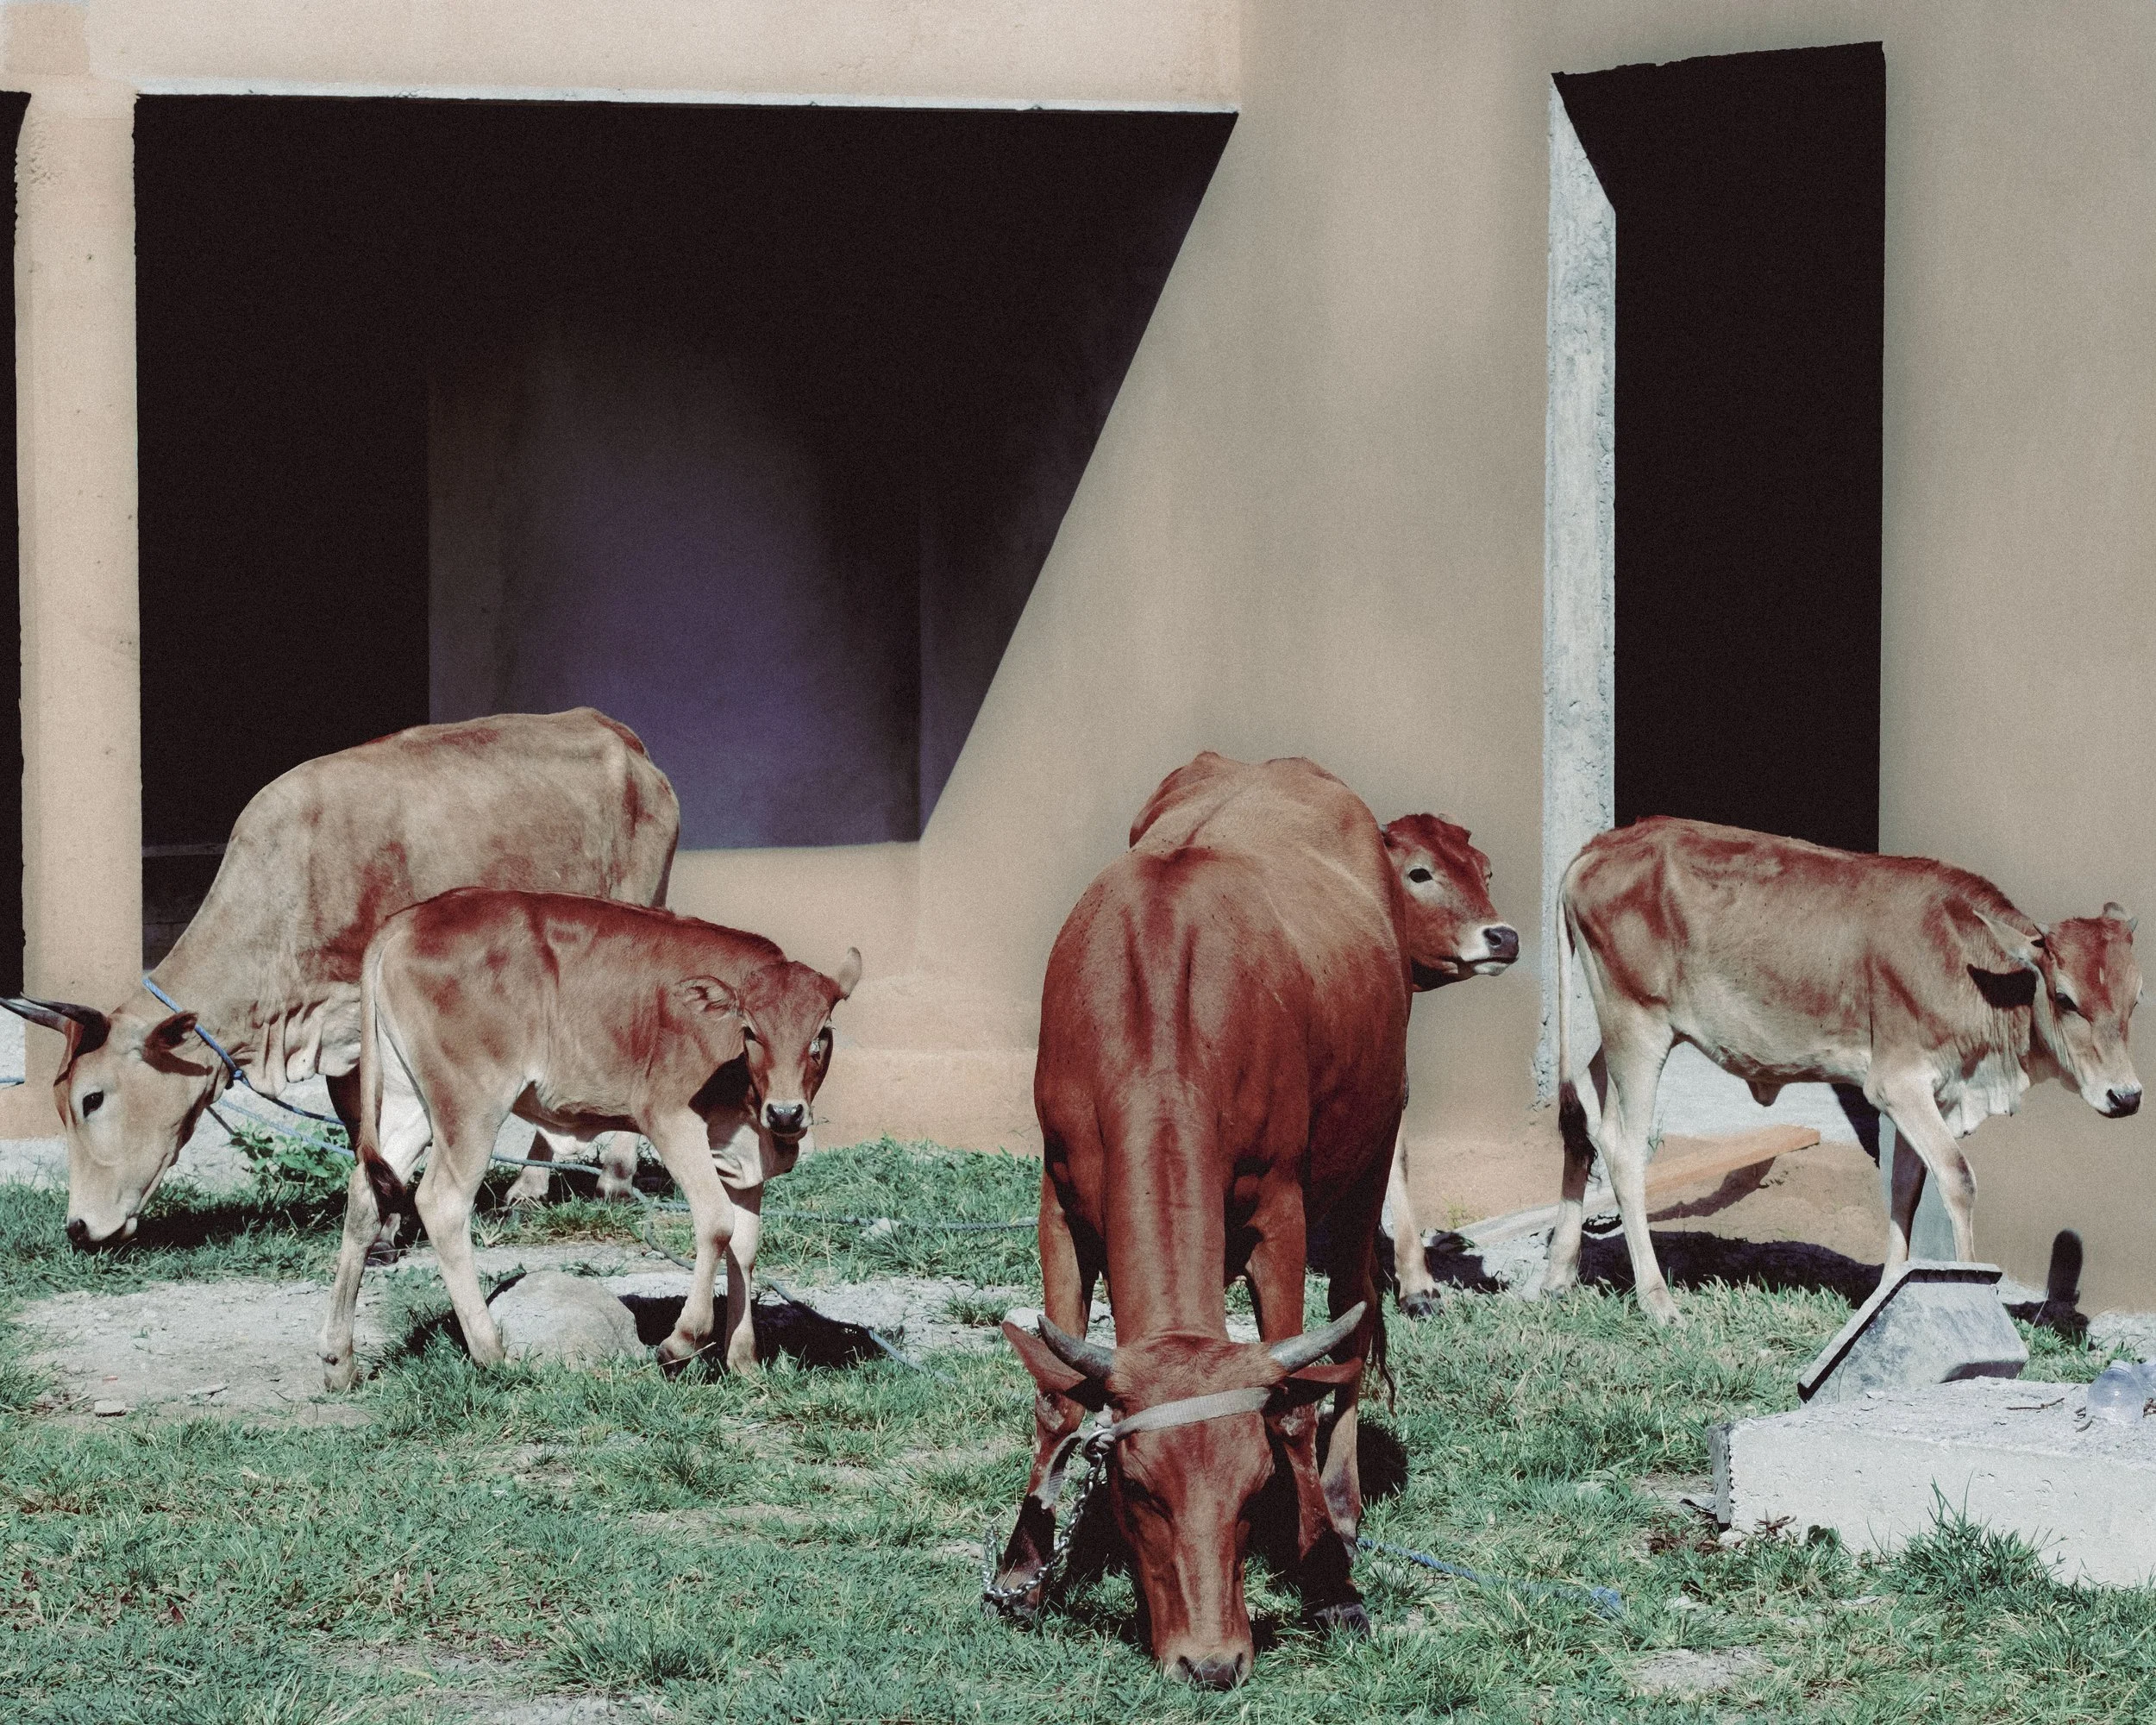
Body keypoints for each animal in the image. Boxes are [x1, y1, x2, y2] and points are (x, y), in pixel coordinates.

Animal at [0, 709, 679, 1247]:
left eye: (92, 1098)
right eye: (60, 1104)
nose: (78, 1228)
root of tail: (619, 735)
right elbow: (362, 1127)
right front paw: (387, 1224)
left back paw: (609, 1179)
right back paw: (537, 1184)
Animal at [318, 889, 859, 1389]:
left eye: (821, 1033)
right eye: (750, 1031)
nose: (786, 1112)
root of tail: (413, 916)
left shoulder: (747, 1152)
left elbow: (745, 1247)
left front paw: (744, 1362)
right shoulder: (670, 1118)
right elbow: (717, 1224)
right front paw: (680, 1343)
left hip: (408, 1099)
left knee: (365, 1194)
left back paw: (340, 1360)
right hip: (469, 1105)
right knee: (442, 1203)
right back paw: (491, 1350)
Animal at [1547, 816, 2143, 1325]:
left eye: (2136, 999)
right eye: (2064, 998)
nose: (2127, 1095)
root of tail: (1600, 845)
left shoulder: (1931, 1093)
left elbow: (1905, 1187)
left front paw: (1891, 1294)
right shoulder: (1897, 1084)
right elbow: (1957, 1178)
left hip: (1616, 1033)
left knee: (1581, 1121)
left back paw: (1558, 1272)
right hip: (1637, 1025)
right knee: (1623, 1149)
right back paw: (1657, 1301)